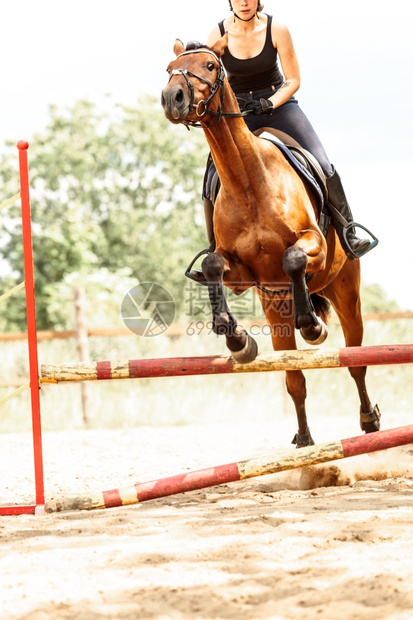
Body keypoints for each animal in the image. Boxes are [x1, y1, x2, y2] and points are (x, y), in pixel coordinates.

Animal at [161, 35, 380, 446]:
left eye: (211, 66)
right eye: (169, 69)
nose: (172, 98)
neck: (249, 180)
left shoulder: (314, 245)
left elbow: (293, 258)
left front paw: (312, 326)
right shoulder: (242, 274)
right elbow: (212, 265)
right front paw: (235, 338)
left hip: (347, 291)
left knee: (355, 359)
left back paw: (369, 419)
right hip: (273, 307)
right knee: (294, 378)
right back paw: (304, 439)